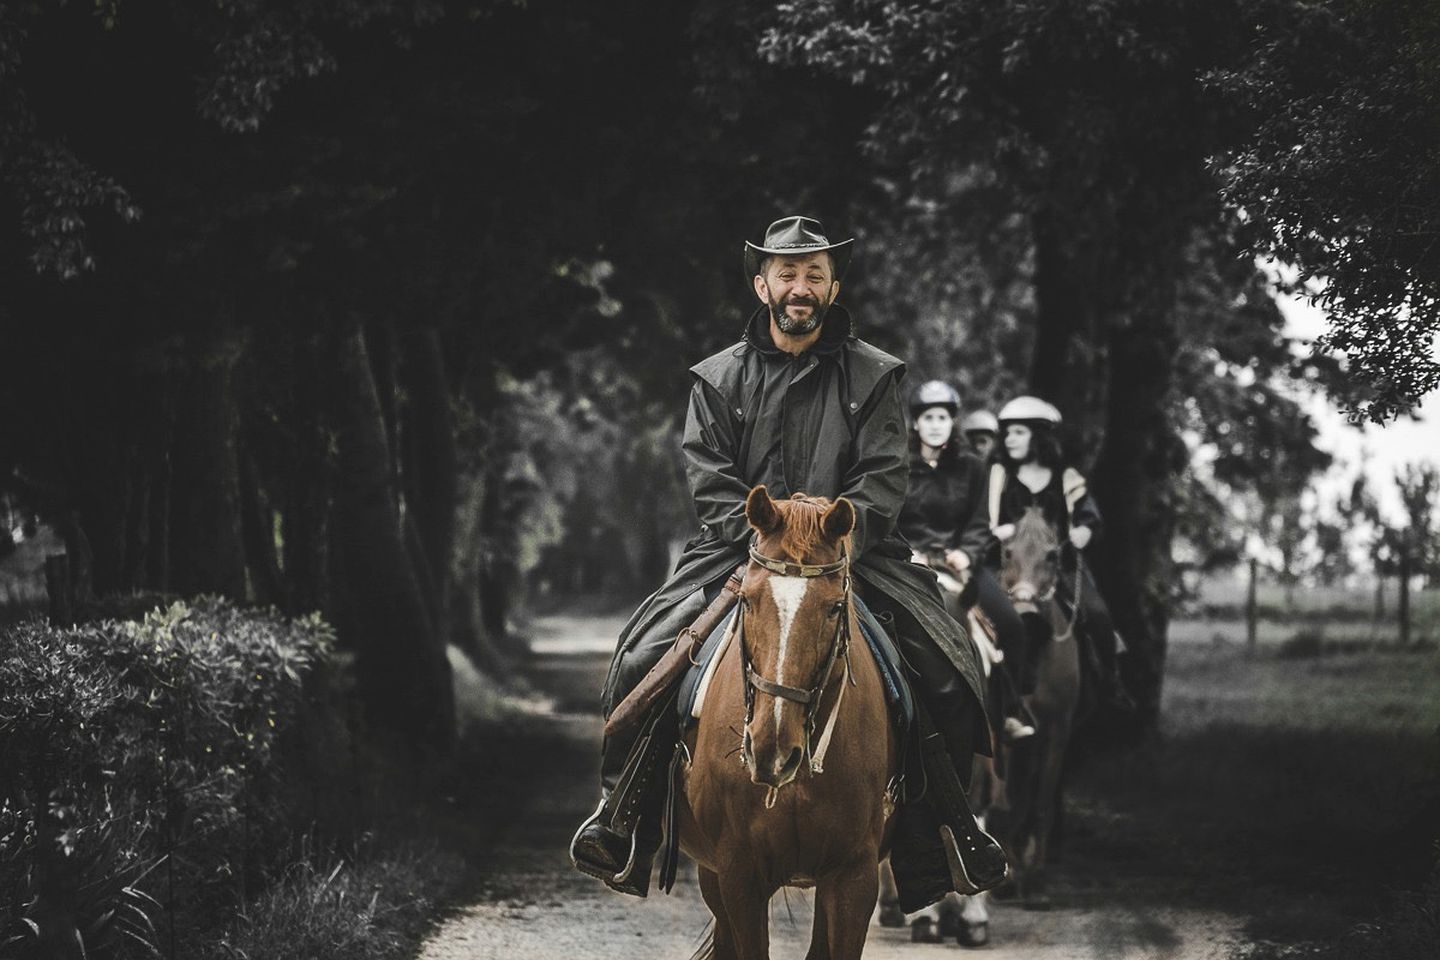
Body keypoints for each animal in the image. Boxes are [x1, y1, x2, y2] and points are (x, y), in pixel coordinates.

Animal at [676, 489, 898, 960]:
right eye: (747, 600)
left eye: (834, 608)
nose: (771, 751)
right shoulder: (739, 875)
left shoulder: (853, 877)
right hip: (713, 876)